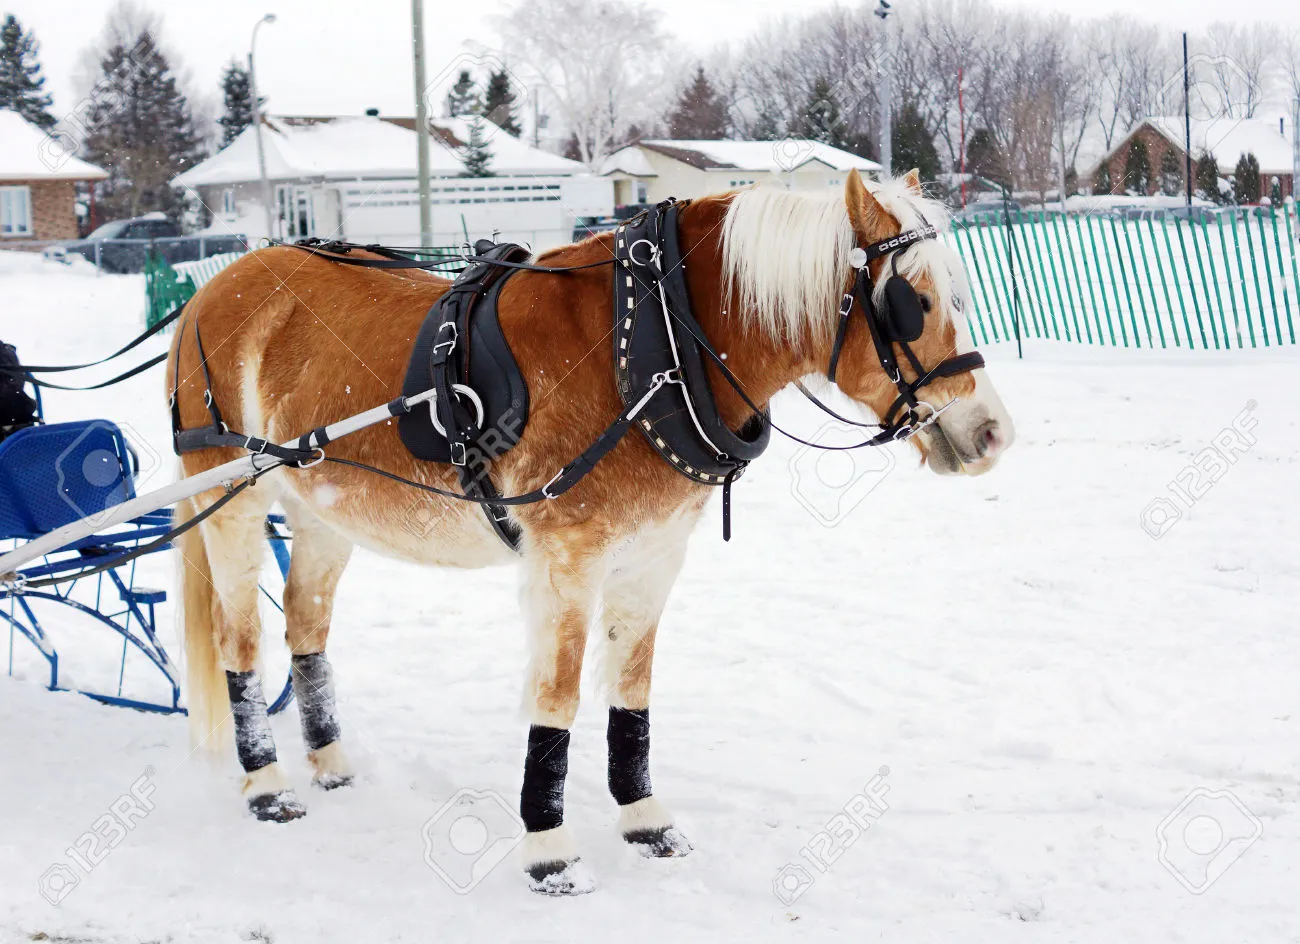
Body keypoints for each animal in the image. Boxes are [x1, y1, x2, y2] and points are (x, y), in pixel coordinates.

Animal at [169, 168, 1015, 895]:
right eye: (912, 302)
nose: (992, 432)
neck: (657, 346)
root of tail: (211, 290)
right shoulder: (566, 558)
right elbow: (559, 693)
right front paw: (550, 850)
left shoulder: (653, 555)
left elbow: (632, 687)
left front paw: (644, 819)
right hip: (234, 498)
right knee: (240, 637)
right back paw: (267, 783)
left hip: (320, 510)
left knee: (306, 625)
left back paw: (332, 762)